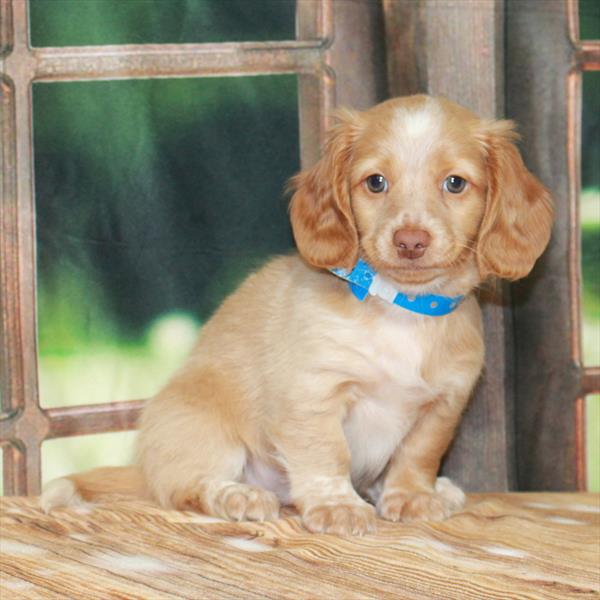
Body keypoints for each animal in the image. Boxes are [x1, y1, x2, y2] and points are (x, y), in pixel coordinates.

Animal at [42, 96, 552, 536]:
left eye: (455, 183)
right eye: (375, 182)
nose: (410, 241)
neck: (399, 308)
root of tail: (144, 466)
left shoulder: (443, 404)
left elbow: (418, 454)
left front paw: (411, 495)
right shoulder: (313, 393)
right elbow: (327, 454)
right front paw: (336, 505)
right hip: (201, 427)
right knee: (187, 487)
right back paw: (239, 495)